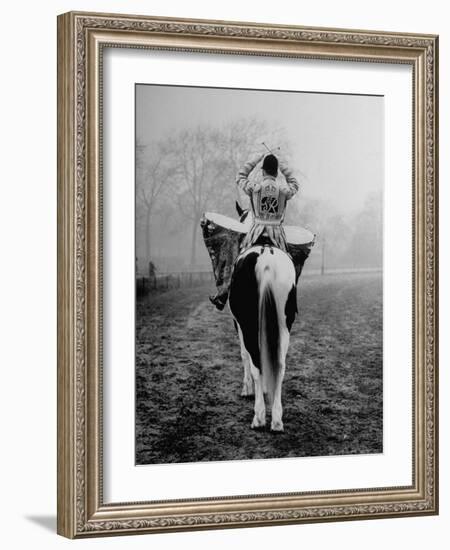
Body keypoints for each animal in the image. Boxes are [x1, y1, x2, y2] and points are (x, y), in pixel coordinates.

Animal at [229, 205, 298, 434]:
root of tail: (266, 260)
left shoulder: (238, 325)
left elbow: (244, 356)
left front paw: (247, 389)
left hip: (249, 324)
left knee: (257, 364)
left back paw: (259, 417)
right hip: (285, 324)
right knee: (280, 365)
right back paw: (276, 419)